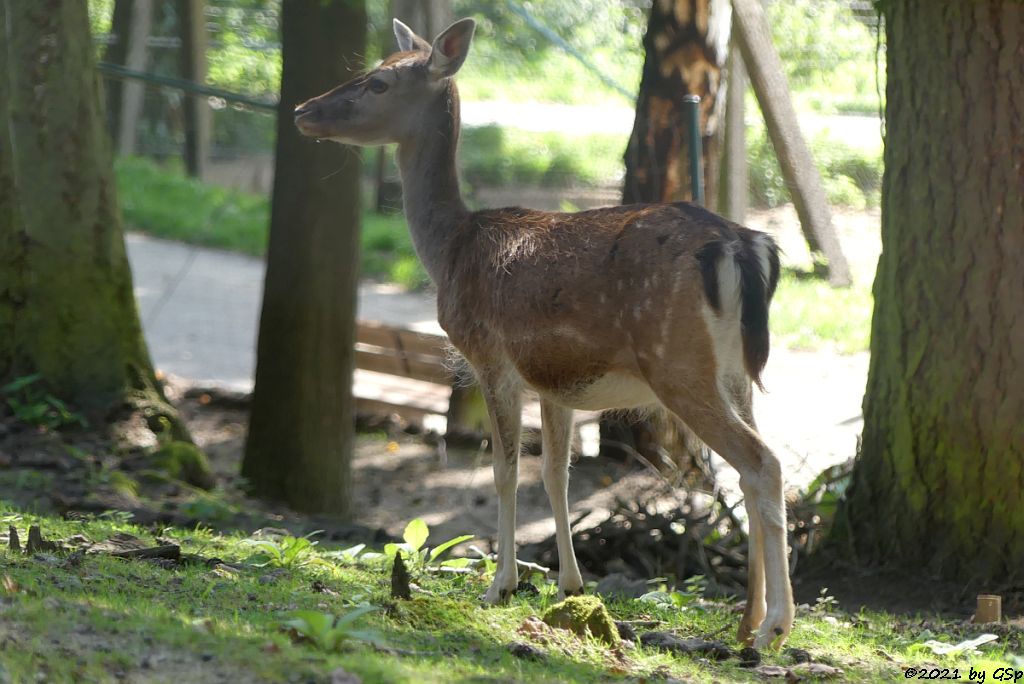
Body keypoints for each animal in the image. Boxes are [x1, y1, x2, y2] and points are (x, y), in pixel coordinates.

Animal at [292, 14, 794, 647]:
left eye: (379, 82)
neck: (450, 251)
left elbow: (505, 471)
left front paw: (500, 585)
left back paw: (774, 625)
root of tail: (747, 249)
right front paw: (570, 587)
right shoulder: (556, 382)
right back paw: (747, 620)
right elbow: (556, 476)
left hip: (678, 364)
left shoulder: (491, 358)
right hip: (737, 372)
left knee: (762, 463)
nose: (302, 109)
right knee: (750, 472)